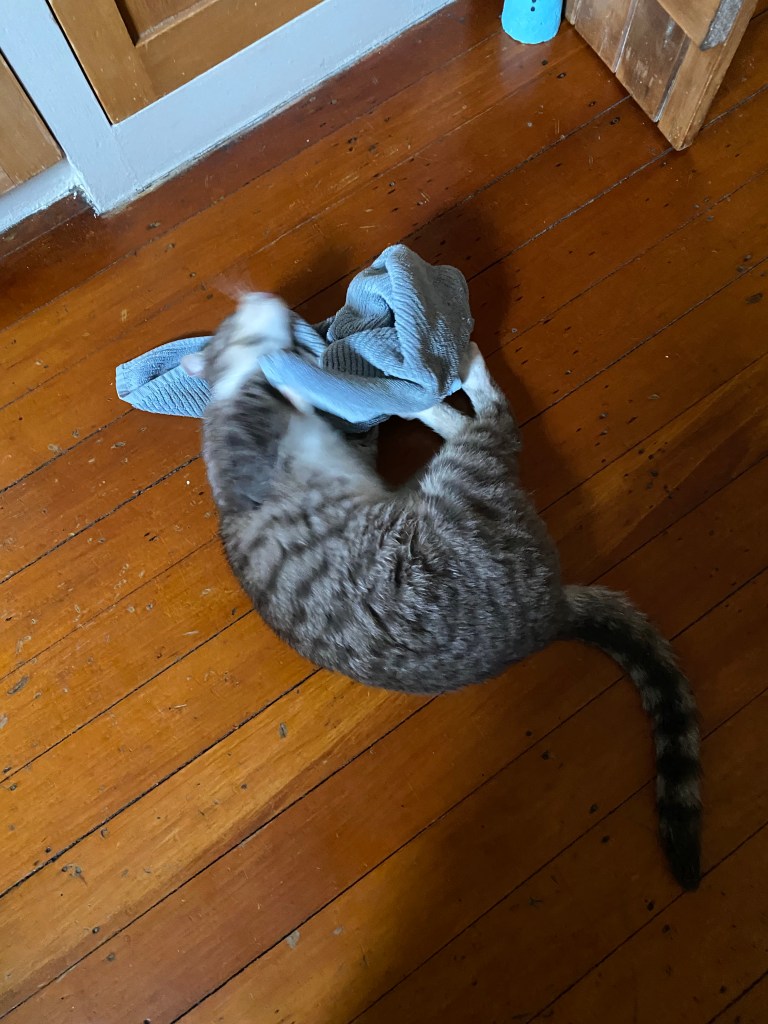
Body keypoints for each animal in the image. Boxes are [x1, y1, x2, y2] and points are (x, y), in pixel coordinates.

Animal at [182, 291, 701, 890]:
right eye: (232, 325)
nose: (258, 300)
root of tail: (547, 616)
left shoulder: (342, 449)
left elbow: (341, 429)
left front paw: (300, 376)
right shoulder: (243, 451)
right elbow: (245, 390)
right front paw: (272, 358)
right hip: (458, 494)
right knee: (497, 426)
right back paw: (441, 396)